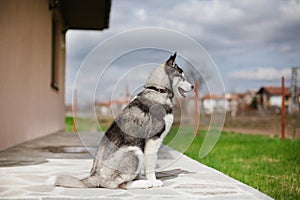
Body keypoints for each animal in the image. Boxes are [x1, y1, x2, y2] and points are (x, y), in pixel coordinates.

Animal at [55, 52, 193, 190]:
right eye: (182, 76)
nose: (193, 86)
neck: (158, 91)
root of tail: (95, 176)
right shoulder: (154, 139)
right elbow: (150, 165)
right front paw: (153, 181)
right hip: (134, 151)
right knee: (117, 184)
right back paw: (142, 183)